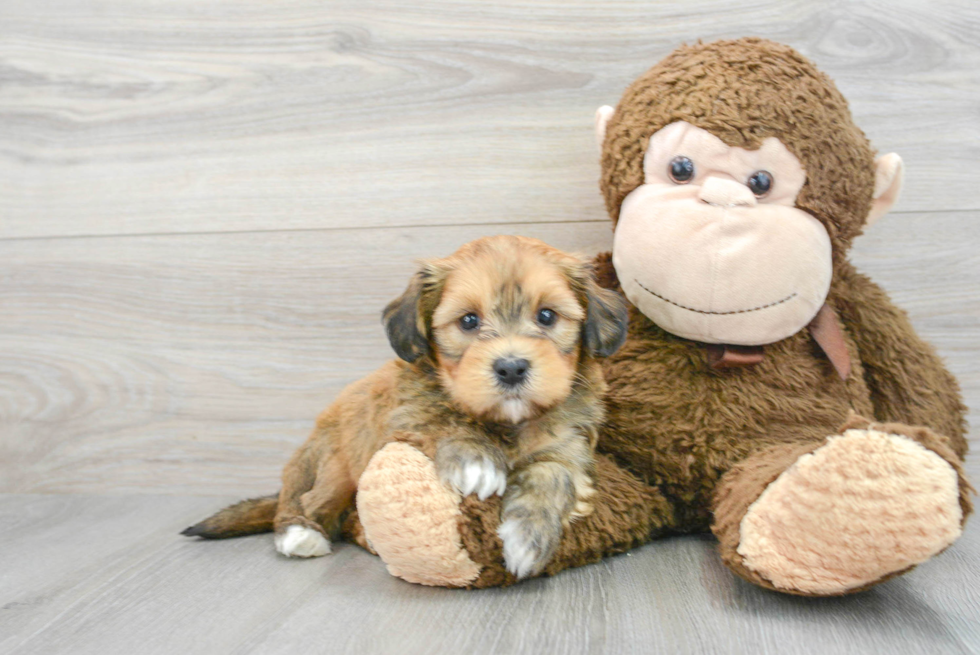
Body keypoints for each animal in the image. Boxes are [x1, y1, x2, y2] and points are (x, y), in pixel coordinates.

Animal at [183, 236, 628, 580]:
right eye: (469, 321)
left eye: (547, 316)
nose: (511, 367)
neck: (504, 423)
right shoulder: (405, 418)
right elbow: (443, 419)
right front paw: (476, 460)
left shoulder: (567, 446)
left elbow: (555, 475)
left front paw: (527, 537)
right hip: (335, 466)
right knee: (306, 504)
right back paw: (300, 534)